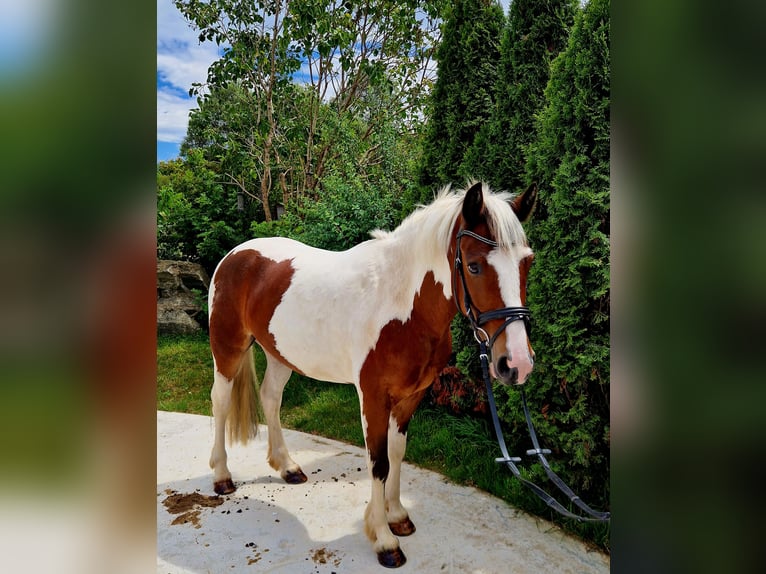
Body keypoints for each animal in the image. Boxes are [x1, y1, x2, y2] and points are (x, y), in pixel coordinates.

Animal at [207, 182, 536, 568]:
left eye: (528, 262)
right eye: (473, 266)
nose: (517, 363)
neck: (401, 306)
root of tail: (236, 254)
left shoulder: (410, 396)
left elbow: (396, 453)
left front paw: (397, 516)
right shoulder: (373, 397)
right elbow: (378, 462)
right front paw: (383, 539)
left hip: (280, 355)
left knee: (271, 398)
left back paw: (288, 467)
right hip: (228, 349)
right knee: (220, 402)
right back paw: (222, 477)